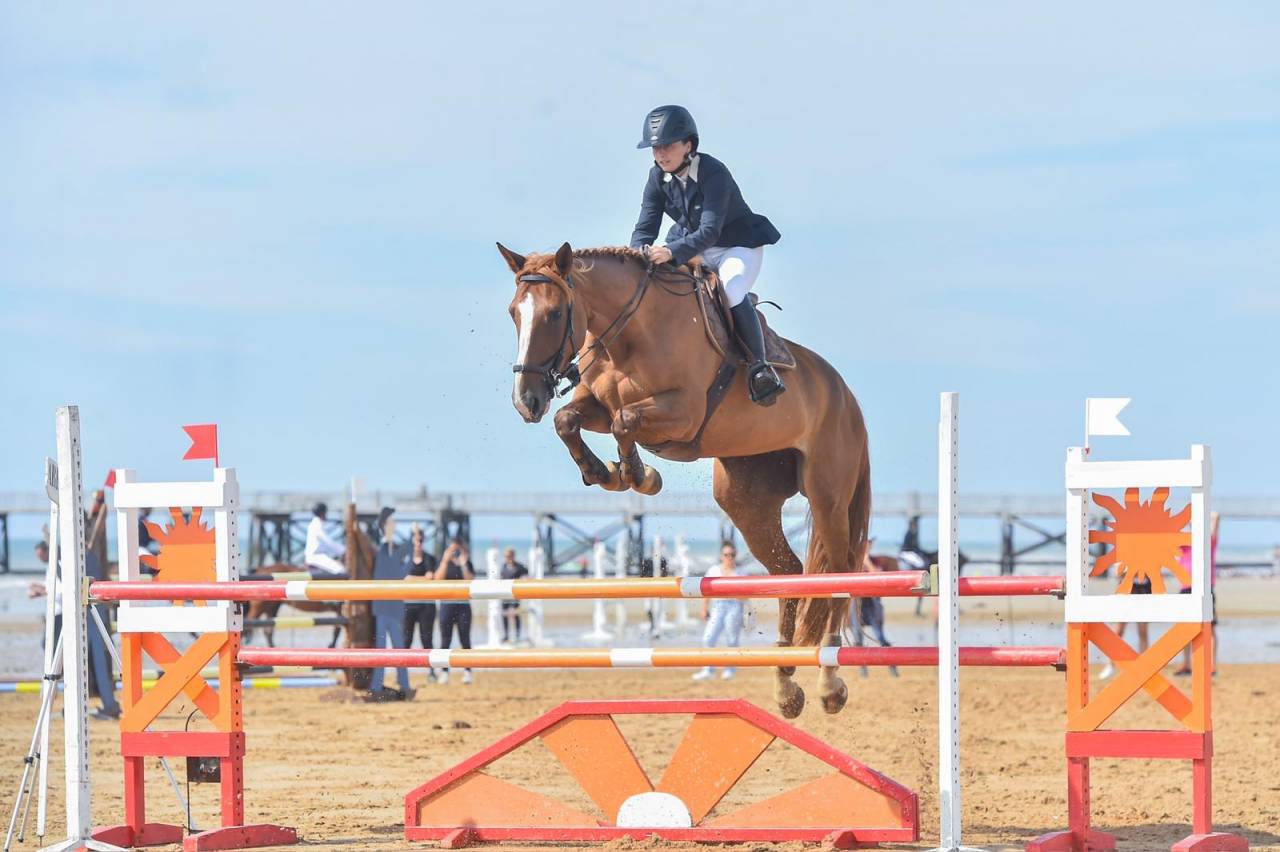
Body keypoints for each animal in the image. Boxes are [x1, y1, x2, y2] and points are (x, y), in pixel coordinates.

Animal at [499, 242, 871, 717]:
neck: (631, 334)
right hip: (745, 499)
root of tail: (845, 395)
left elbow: (624, 421)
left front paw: (638, 476)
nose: (525, 402)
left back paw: (829, 683)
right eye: (514, 312)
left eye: (554, 313)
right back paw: (786, 687)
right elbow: (569, 420)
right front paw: (607, 473)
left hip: (828, 495)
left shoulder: (681, 412)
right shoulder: (595, 403)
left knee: (839, 572)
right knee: (788, 571)